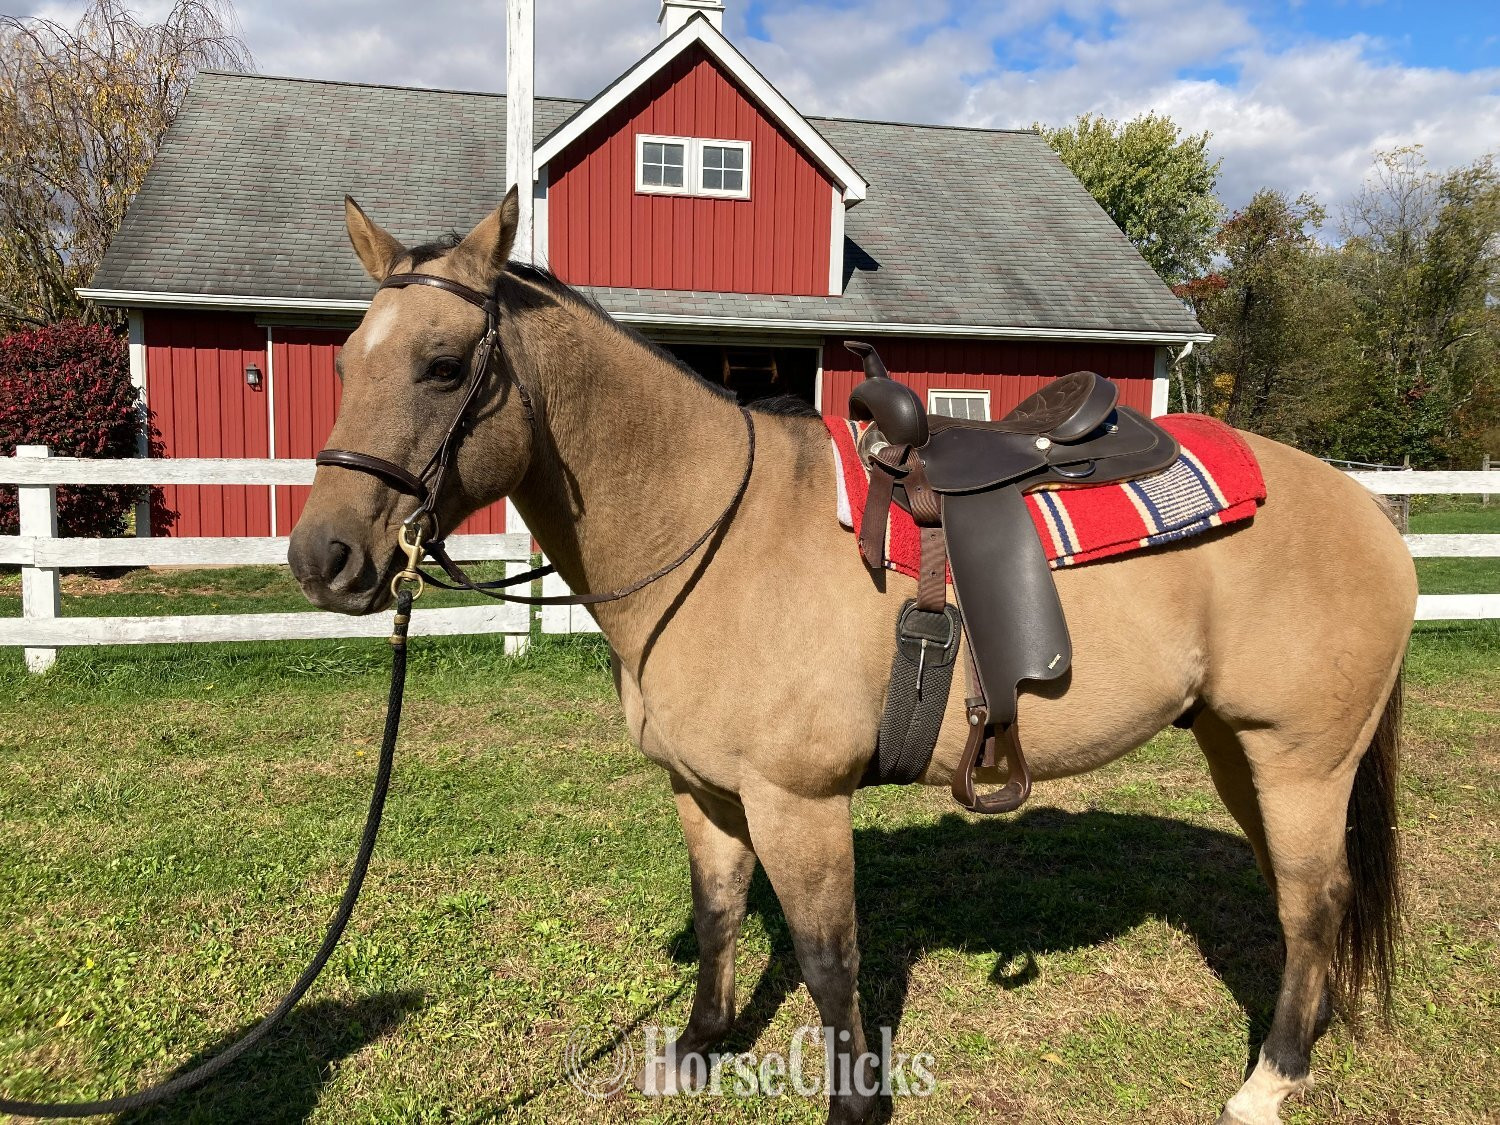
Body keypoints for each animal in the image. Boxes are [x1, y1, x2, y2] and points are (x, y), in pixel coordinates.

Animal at [287, 189, 1416, 1125]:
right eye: (340, 364)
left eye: (442, 367)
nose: (322, 557)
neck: (714, 534)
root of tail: (1368, 508)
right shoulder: (707, 792)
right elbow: (717, 917)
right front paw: (699, 1049)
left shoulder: (801, 803)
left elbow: (831, 963)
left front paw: (854, 1103)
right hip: (1238, 750)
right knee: (1303, 905)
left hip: (1300, 761)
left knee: (1314, 904)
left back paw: (1270, 1080)